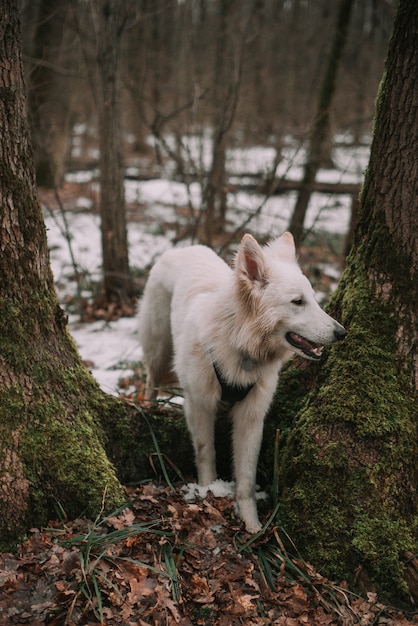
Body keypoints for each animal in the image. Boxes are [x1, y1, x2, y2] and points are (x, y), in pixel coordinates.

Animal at [138, 232, 346, 528]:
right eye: (298, 302)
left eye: (314, 300)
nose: (342, 333)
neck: (240, 343)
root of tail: (184, 248)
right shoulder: (199, 405)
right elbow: (206, 452)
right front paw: (207, 491)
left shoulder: (252, 417)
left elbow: (246, 476)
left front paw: (252, 524)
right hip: (158, 345)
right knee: (151, 376)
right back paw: (150, 404)